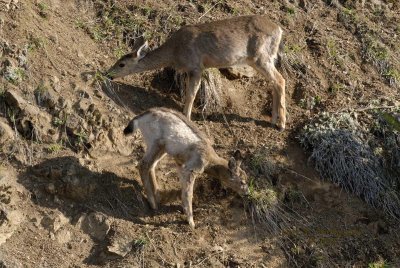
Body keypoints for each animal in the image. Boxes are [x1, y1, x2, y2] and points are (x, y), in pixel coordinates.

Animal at [108, 15, 286, 130]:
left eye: (122, 64)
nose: (108, 74)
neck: (174, 52)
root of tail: (279, 30)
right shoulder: (190, 70)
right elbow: (190, 92)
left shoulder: (196, 67)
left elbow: (191, 94)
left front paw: (186, 117)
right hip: (263, 58)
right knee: (274, 82)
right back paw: (273, 120)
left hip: (260, 56)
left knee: (280, 80)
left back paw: (282, 124)